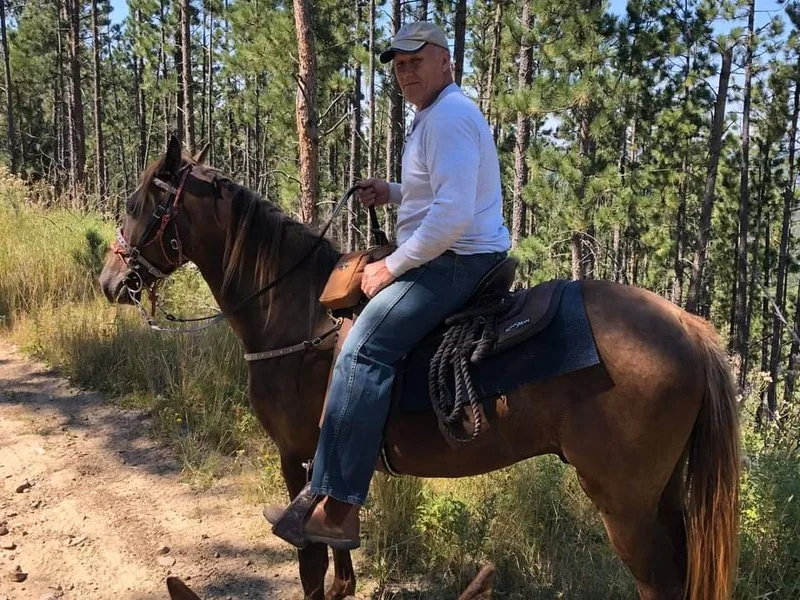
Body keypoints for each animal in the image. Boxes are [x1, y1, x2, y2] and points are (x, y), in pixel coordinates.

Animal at [99, 137, 739, 600]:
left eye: (135, 207)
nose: (109, 281)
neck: (296, 312)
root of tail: (689, 328)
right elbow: (339, 557)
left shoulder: (294, 454)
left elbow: (309, 565)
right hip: (662, 496)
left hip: (627, 507)